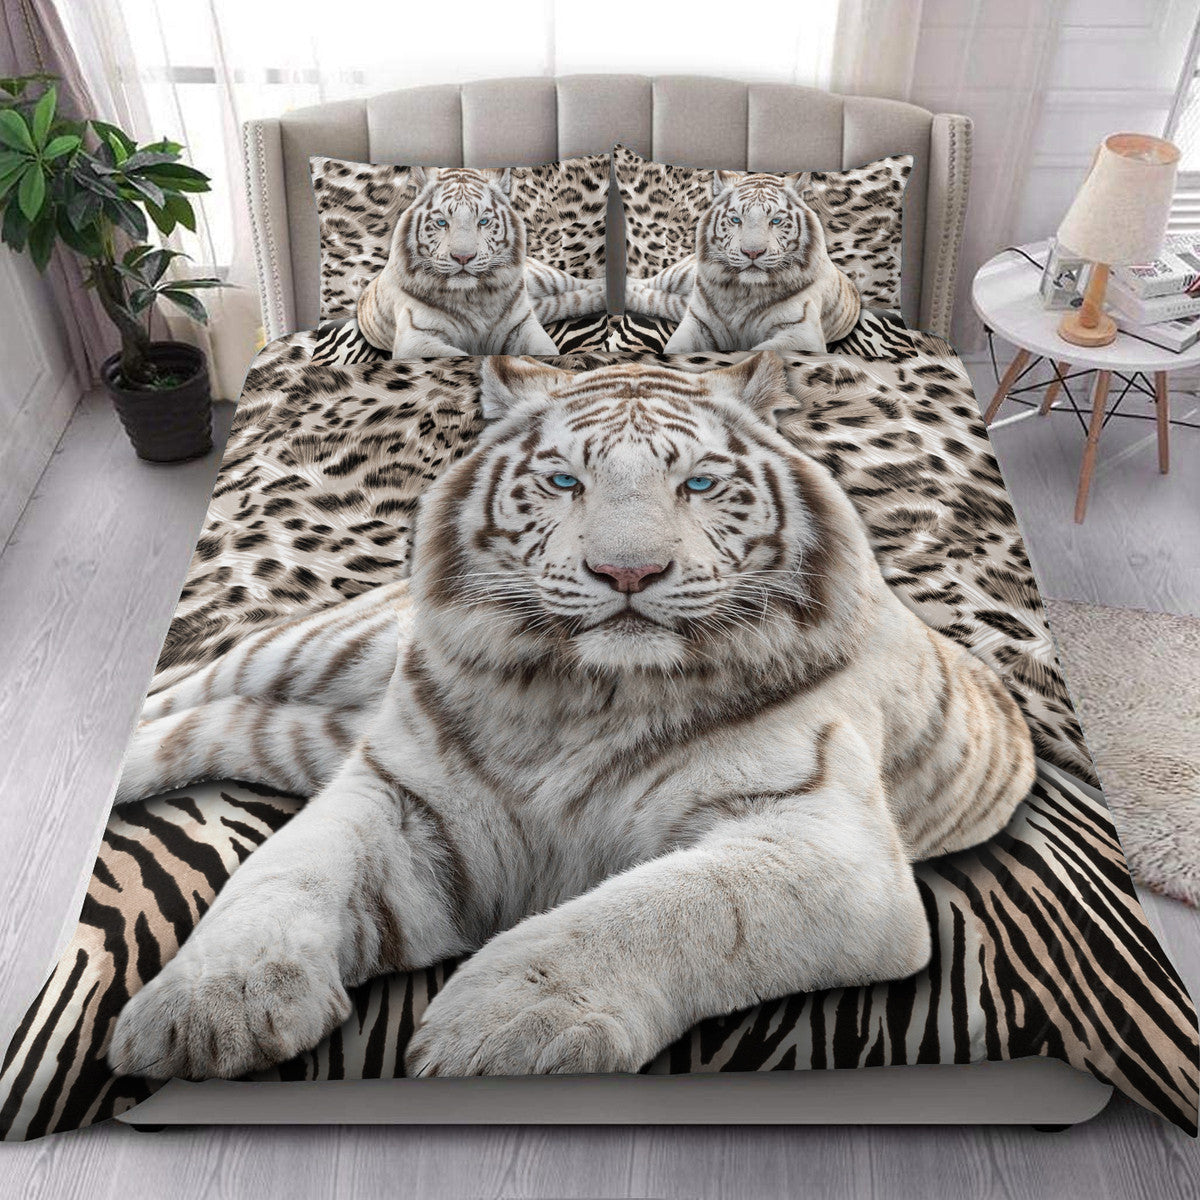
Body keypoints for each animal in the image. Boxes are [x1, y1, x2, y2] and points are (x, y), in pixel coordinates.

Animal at [107, 351, 1035, 1083]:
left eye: (698, 483)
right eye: (564, 481)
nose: (628, 573)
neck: (581, 697)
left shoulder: (827, 845)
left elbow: (663, 908)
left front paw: (499, 1025)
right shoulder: (399, 792)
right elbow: (285, 869)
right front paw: (211, 999)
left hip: (300, 734)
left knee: (215, 724)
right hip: (313, 651)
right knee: (189, 684)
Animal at [357, 166, 600, 357]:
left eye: (483, 221)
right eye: (441, 222)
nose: (463, 257)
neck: (474, 298)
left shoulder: (522, 324)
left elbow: (545, 352)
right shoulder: (415, 339)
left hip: (544, 278)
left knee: (579, 284)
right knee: (568, 301)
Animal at [627, 172, 861, 355]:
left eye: (776, 221)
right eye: (736, 220)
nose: (752, 252)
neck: (744, 292)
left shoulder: (802, 333)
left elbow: (759, 352)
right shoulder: (698, 322)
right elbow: (675, 349)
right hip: (678, 275)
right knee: (647, 284)